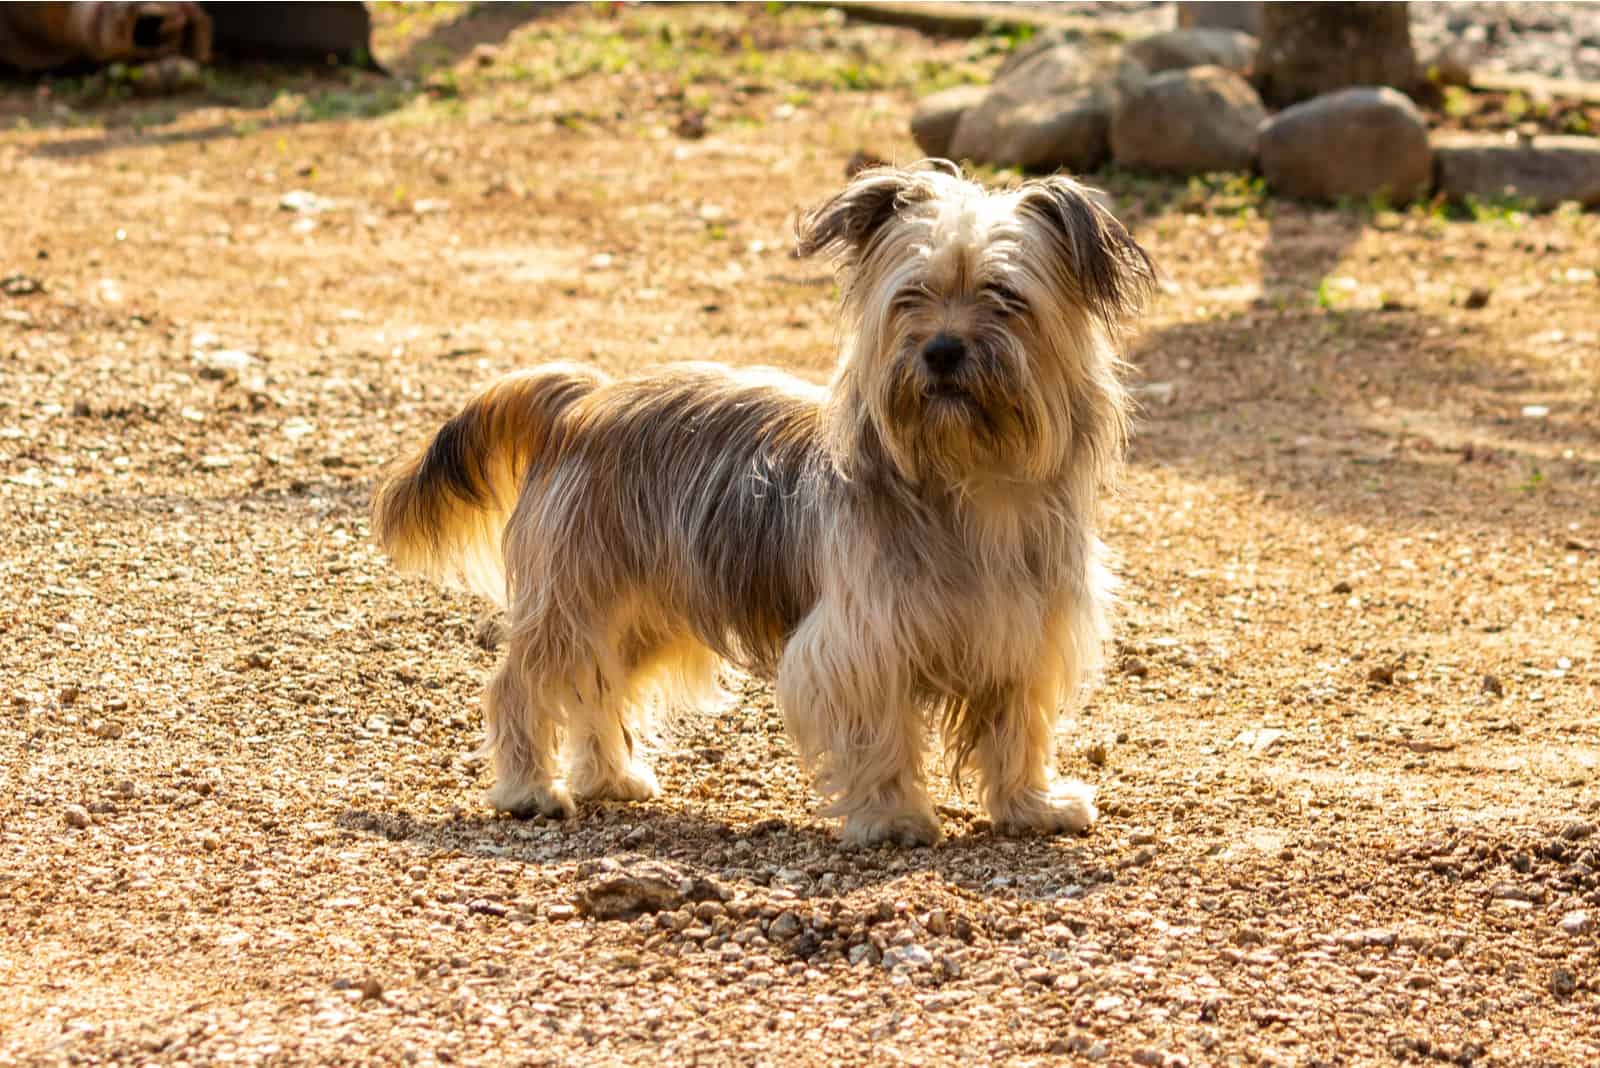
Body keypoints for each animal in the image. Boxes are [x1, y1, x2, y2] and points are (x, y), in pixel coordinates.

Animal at [371, 160, 1152, 844]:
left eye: (1005, 297)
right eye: (910, 296)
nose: (941, 351)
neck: (972, 478)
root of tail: (583, 401)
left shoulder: (1024, 635)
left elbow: (1019, 729)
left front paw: (1032, 806)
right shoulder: (859, 641)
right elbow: (880, 731)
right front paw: (893, 819)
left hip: (645, 613)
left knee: (602, 686)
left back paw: (611, 778)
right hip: (577, 597)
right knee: (521, 684)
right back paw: (529, 789)